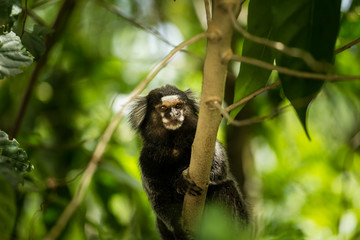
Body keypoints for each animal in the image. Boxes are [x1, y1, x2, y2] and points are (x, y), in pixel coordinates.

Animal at [128, 85, 249, 239]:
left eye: (178, 106)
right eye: (163, 108)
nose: (174, 114)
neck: (173, 144)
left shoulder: (202, 140)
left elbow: (220, 167)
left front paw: (182, 180)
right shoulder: (146, 160)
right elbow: (158, 198)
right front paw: (178, 227)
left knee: (226, 188)